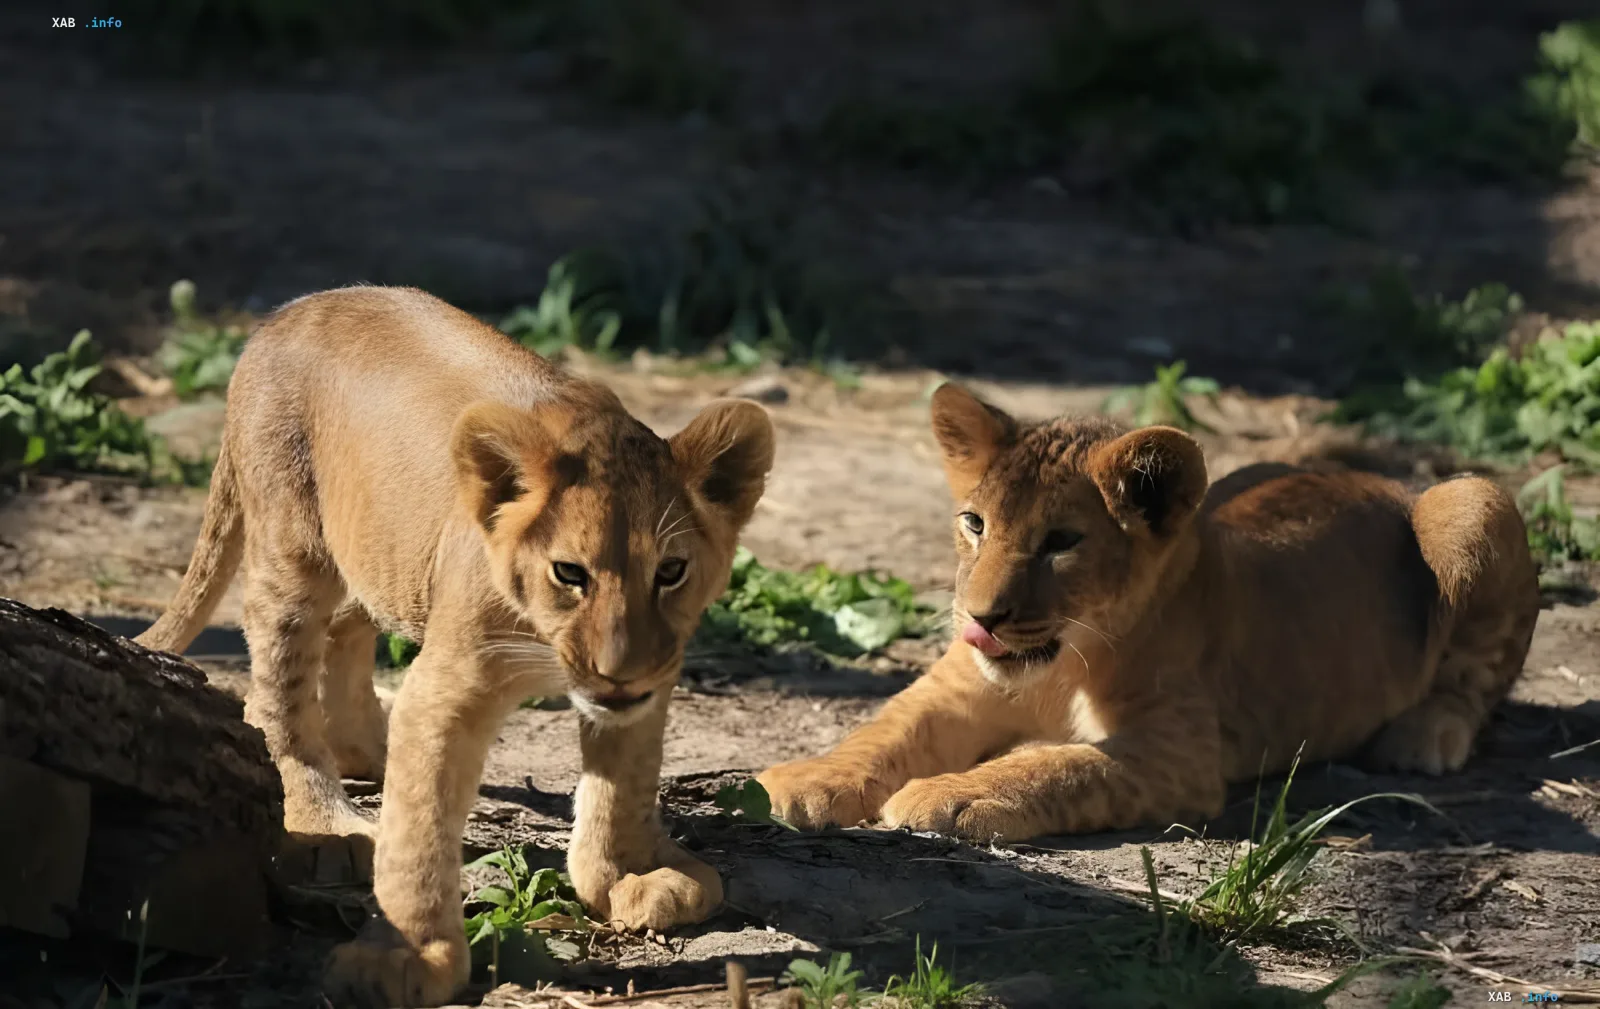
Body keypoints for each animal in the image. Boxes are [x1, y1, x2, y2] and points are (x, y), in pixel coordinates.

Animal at [136, 286, 775, 1007]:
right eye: (569, 573)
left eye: (671, 571)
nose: (618, 674)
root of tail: (288, 310)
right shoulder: (451, 686)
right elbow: (420, 825)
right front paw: (406, 956)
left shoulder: (654, 673)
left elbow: (627, 777)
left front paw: (628, 875)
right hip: (292, 544)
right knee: (280, 685)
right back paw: (327, 821)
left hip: (378, 548)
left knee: (347, 632)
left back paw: (368, 747)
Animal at [758, 382, 1539, 841]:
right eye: (975, 524)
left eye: (1062, 543)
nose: (981, 619)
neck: (1060, 666)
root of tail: (1377, 478)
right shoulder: (954, 686)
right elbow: (883, 729)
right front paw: (801, 781)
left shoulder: (1182, 753)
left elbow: (1064, 766)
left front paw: (950, 793)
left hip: (1469, 501)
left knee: (1477, 678)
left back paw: (1423, 736)